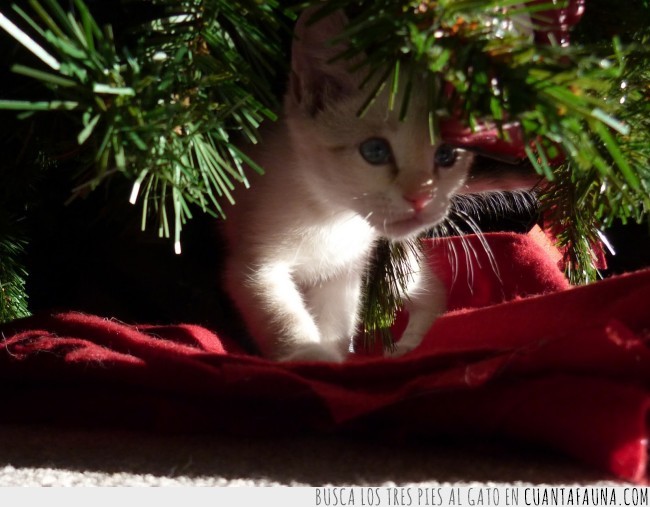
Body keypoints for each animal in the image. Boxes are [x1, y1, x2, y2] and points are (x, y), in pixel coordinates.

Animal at [221, 9, 470, 364]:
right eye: (375, 151)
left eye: (447, 154)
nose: (421, 197)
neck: (330, 216)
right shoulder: (254, 263)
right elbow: (281, 312)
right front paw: (311, 356)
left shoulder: (344, 271)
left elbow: (337, 323)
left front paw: (333, 358)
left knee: (433, 291)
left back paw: (409, 345)